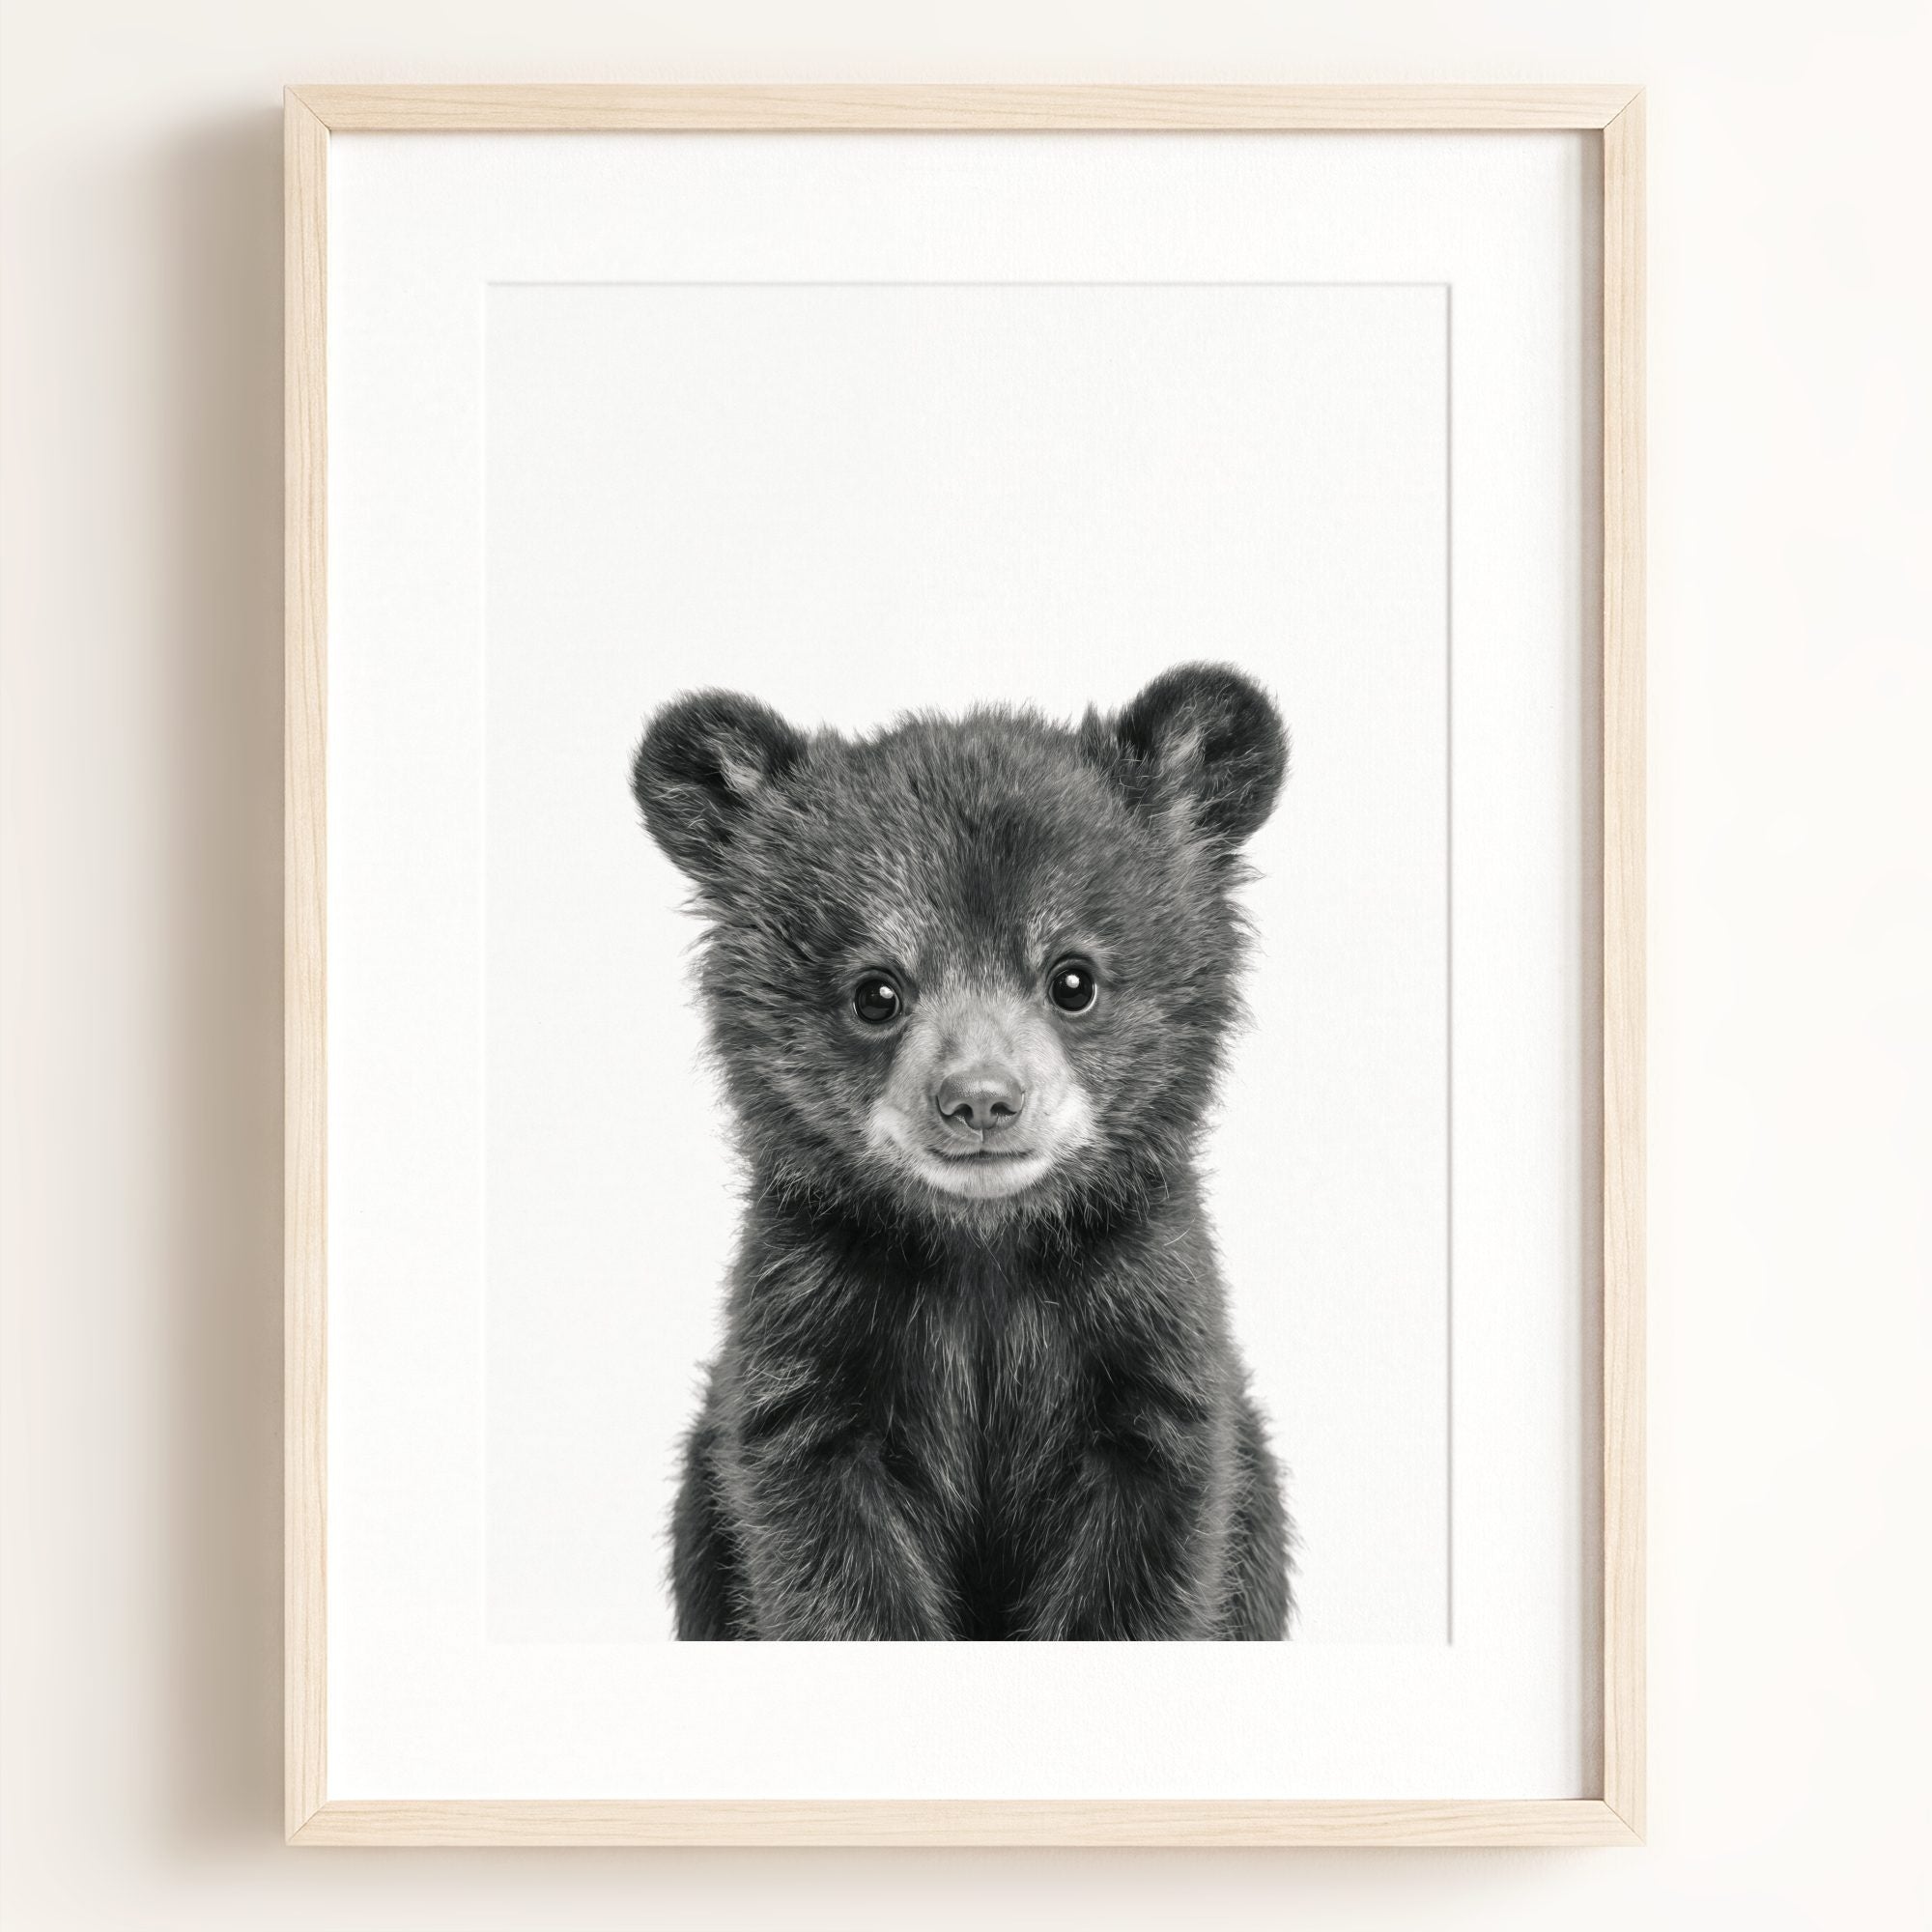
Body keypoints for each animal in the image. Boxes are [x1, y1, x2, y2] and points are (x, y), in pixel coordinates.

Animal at [631, 663, 1294, 1640]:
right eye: (876, 992)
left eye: (1073, 979)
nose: (981, 1099)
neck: (984, 1251)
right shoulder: (810, 1336)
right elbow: (823, 1552)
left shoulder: (1144, 1328)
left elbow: (1151, 1550)